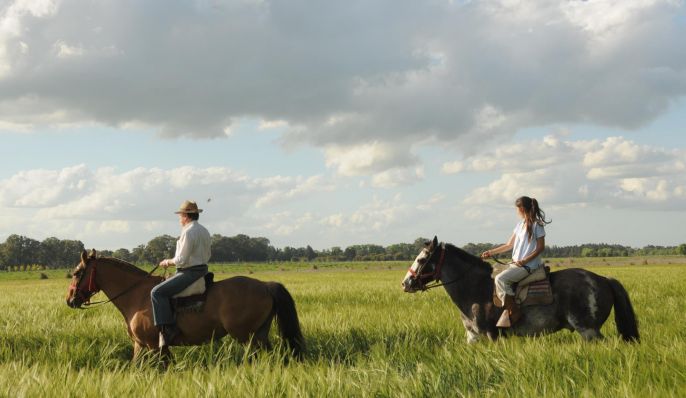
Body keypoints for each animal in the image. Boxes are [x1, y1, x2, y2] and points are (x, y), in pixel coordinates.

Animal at [66, 252, 304, 360]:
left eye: (77, 272)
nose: (70, 300)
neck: (137, 296)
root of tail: (265, 285)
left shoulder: (152, 346)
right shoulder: (142, 346)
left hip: (247, 337)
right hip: (259, 335)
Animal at [400, 236, 644, 342]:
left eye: (421, 259)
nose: (406, 283)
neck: (475, 290)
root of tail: (603, 279)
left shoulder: (493, 336)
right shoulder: (473, 337)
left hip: (589, 330)